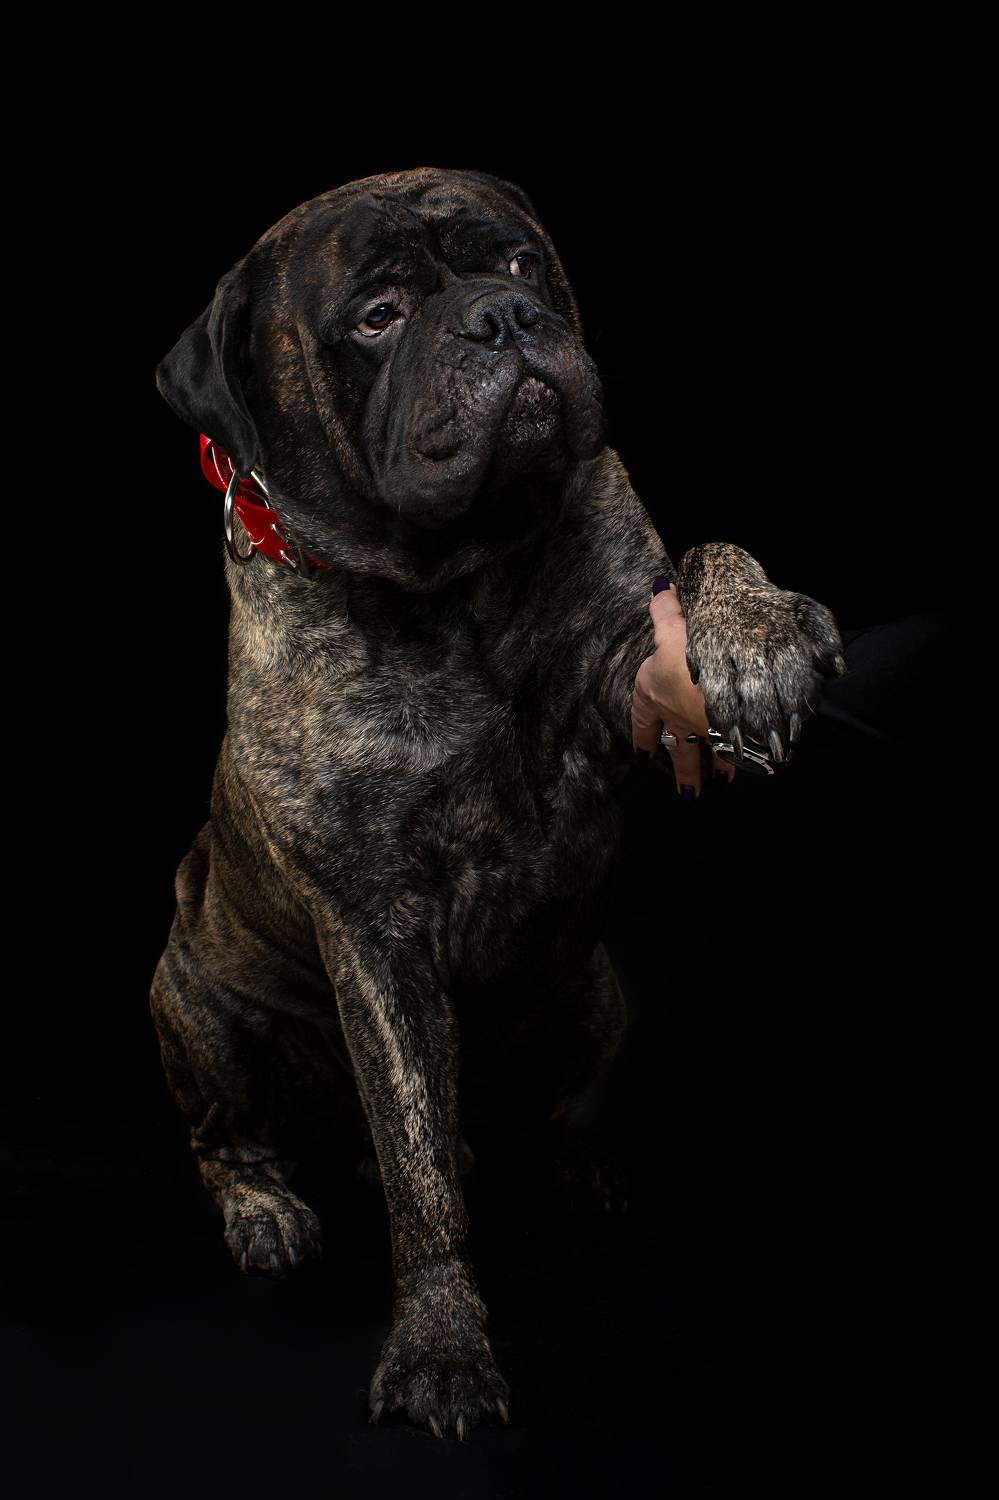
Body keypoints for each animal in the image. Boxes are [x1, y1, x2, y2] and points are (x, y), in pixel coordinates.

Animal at [150, 166, 845, 1440]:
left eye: (520, 264)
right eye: (378, 318)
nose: (502, 319)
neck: (455, 575)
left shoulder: (631, 673)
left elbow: (707, 557)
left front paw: (756, 629)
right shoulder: (375, 934)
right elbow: (421, 1179)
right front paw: (440, 1343)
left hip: (595, 992)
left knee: (546, 1107)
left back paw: (575, 1165)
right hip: (201, 1017)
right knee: (238, 1139)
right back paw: (266, 1208)